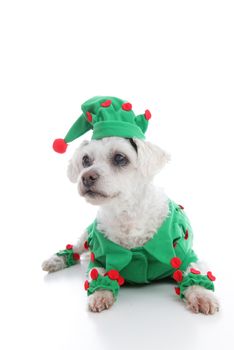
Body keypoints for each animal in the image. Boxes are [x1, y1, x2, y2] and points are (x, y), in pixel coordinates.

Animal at [42, 135, 219, 314]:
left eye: (120, 158)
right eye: (85, 160)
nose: (86, 177)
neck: (126, 215)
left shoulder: (185, 256)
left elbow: (194, 271)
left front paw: (201, 295)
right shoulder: (99, 258)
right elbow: (97, 274)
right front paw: (100, 294)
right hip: (87, 236)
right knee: (75, 248)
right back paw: (56, 260)